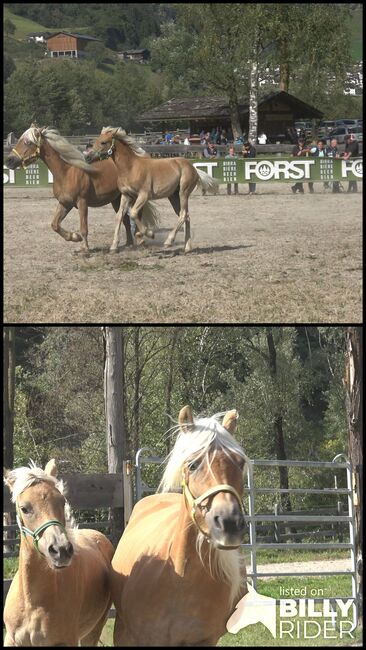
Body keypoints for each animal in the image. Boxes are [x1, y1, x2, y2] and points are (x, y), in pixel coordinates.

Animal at [3, 456, 113, 644]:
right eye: (25, 508)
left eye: (62, 501)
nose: (61, 550)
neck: (32, 603)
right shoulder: (11, 640)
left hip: (93, 631)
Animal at [5, 125, 158, 252]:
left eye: (28, 142)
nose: (9, 160)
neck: (66, 172)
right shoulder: (65, 203)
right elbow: (55, 225)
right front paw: (74, 237)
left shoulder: (82, 202)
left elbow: (84, 228)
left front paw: (85, 249)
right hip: (116, 199)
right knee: (124, 219)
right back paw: (128, 244)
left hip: (131, 196)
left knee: (136, 215)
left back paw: (140, 240)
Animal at [86, 126, 219, 251]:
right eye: (95, 141)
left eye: (103, 142)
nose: (87, 157)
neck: (131, 168)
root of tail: (193, 168)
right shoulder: (126, 195)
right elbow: (119, 216)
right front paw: (114, 246)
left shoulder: (143, 195)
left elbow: (133, 213)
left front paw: (148, 234)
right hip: (173, 196)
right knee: (186, 216)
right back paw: (187, 247)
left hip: (183, 193)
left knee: (182, 214)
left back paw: (169, 241)